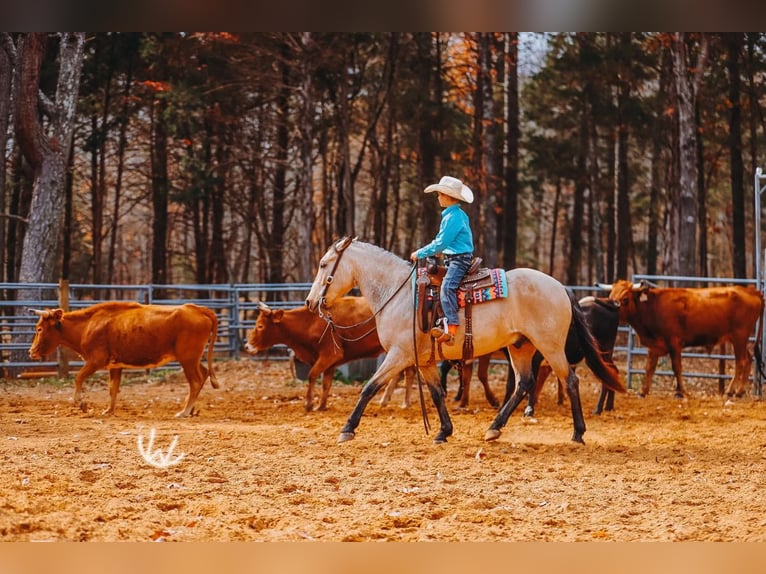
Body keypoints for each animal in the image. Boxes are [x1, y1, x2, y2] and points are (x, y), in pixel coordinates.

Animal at [305, 237, 625, 444]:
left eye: (323, 264)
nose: (310, 302)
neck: (399, 293)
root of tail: (561, 287)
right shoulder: (423, 360)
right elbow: (436, 393)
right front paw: (443, 431)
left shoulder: (399, 354)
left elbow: (369, 388)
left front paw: (347, 429)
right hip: (520, 346)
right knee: (524, 383)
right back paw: (494, 428)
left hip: (550, 347)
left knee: (570, 380)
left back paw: (578, 433)